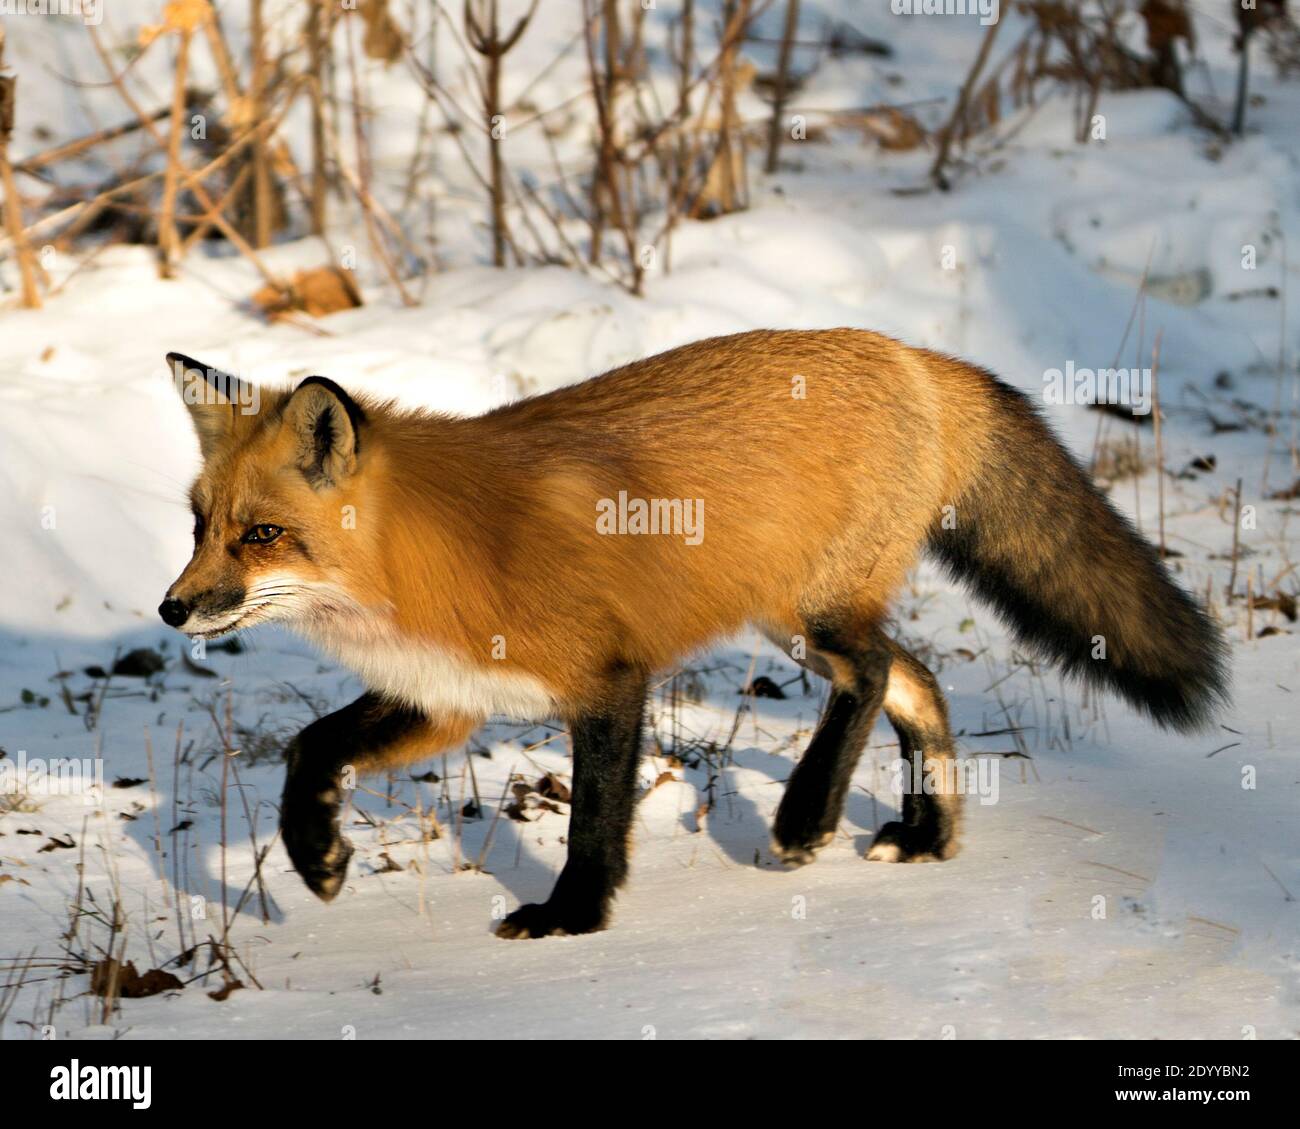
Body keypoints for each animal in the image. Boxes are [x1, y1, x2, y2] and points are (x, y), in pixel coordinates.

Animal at [157, 330, 1222, 941]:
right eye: (198, 525)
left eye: (262, 536)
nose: (172, 609)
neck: (431, 556)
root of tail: (909, 352)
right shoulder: (448, 701)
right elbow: (311, 747)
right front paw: (316, 857)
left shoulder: (607, 677)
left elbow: (594, 817)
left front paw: (573, 916)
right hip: (796, 619)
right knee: (917, 678)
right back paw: (927, 835)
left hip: (812, 614)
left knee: (878, 670)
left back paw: (806, 817)